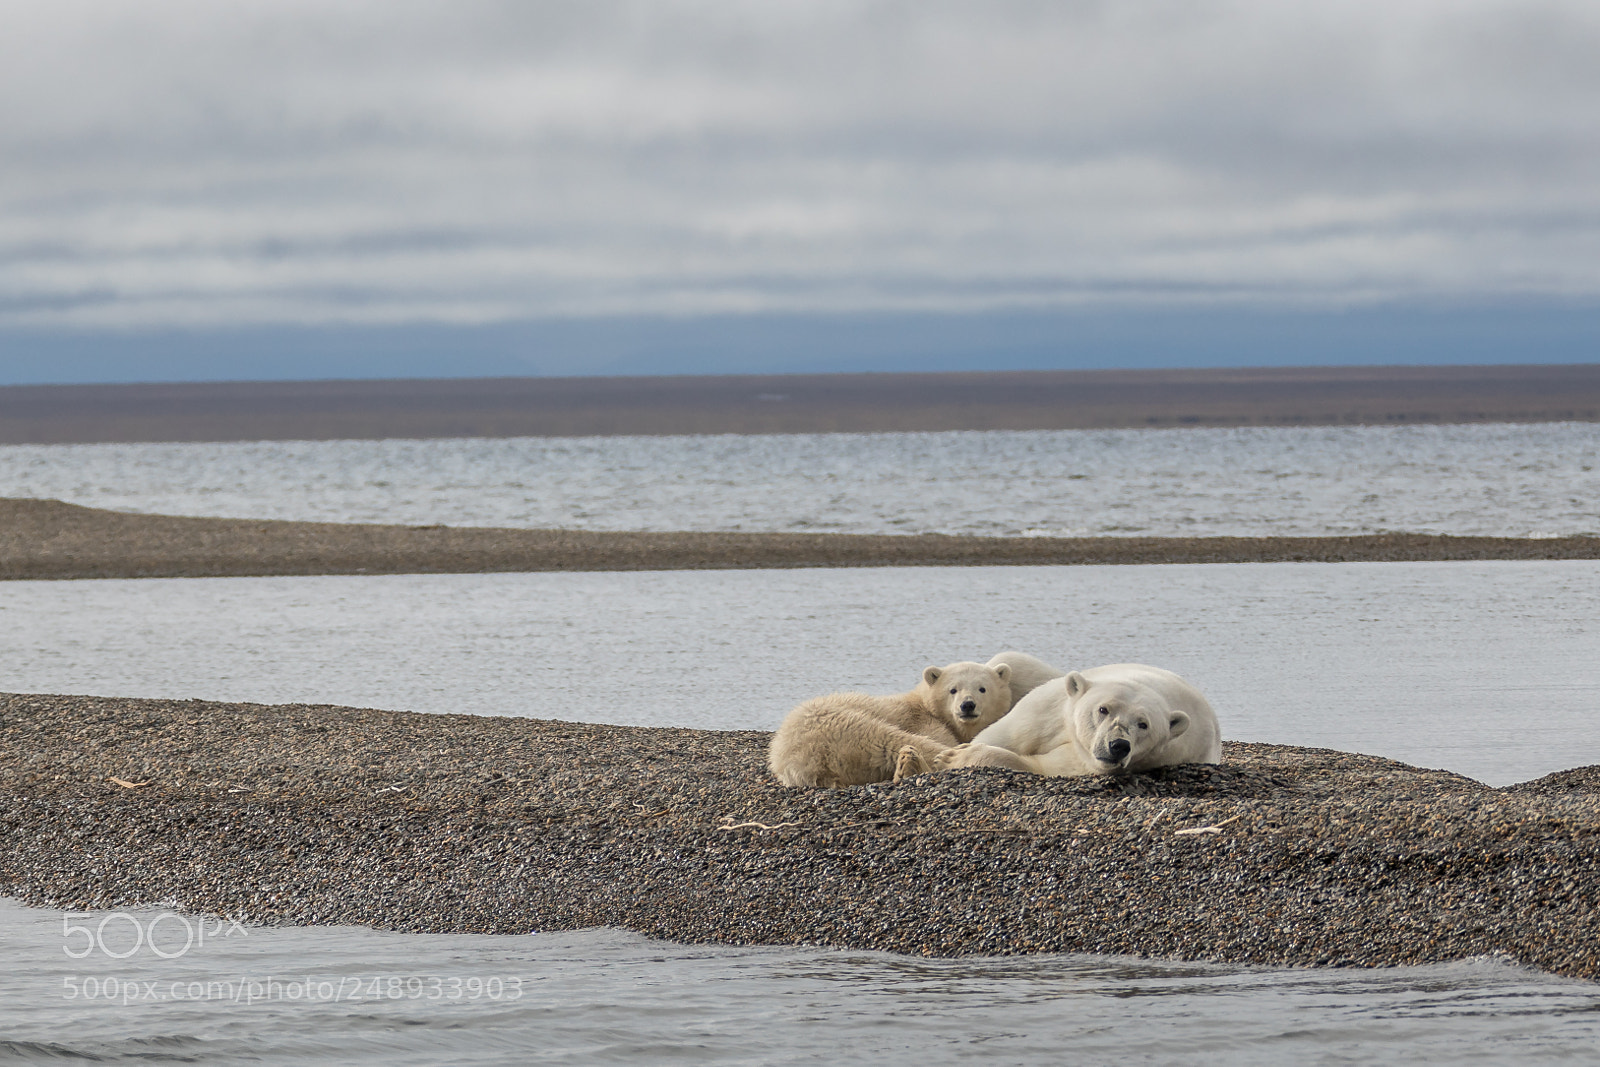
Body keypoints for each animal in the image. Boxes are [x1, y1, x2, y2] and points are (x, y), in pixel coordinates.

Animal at [768, 661, 1013, 788]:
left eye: (982, 688)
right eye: (953, 689)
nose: (967, 705)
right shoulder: (922, 721)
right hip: (843, 725)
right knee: (895, 739)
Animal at [894, 663, 1219, 779]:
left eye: (1144, 725)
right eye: (1103, 709)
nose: (1118, 746)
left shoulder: (1089, 761)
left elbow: (1041, 765)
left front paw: (952, 758)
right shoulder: (1046, 710)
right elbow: (1004, 734)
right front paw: (916, 763)